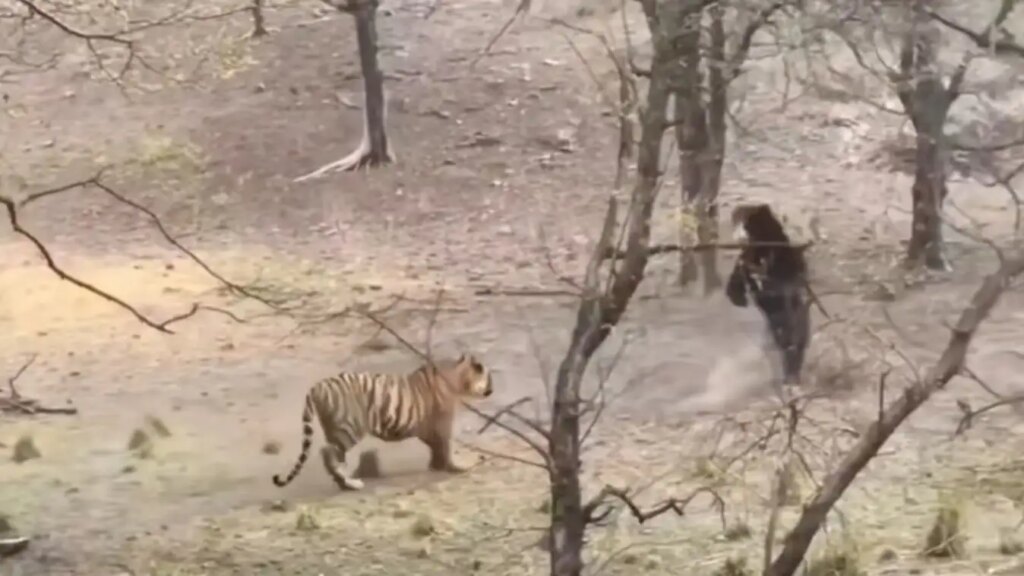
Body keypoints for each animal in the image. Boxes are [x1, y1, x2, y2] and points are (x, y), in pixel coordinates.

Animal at [271, 353, 494, 491]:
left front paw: (436, 465)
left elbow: (436, 446)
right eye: (488, 377)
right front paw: (457, 466)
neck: (457, 378)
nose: (492, 389)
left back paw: (343, 483)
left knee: (329, 453)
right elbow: (447, 445)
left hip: (335, 428)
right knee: (330, 453)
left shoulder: (427, 427)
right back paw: (350, 483)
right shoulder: (443, 421)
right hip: (349, 428)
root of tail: (317, 386)